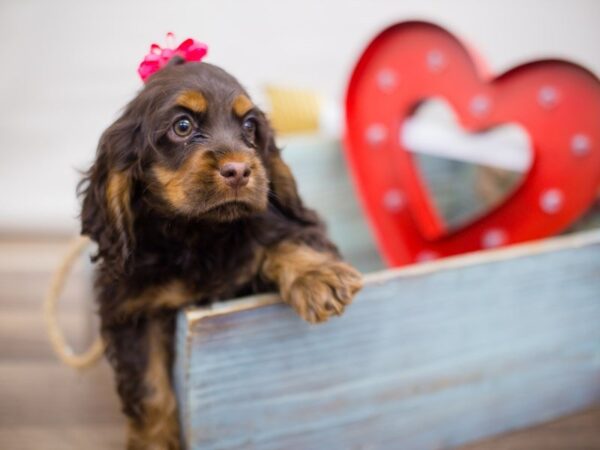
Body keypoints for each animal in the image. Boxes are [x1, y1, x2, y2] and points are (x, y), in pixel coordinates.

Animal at [78, 58, 364, 448]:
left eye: (249, 126)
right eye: (182, 126)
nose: (240, 171)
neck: (198, 233)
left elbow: (282, 240)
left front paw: (319, 278)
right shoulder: (132, 309)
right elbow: (150, 390)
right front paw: (154, 443)